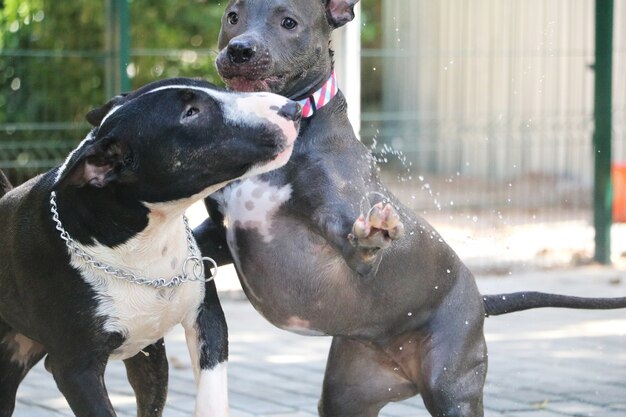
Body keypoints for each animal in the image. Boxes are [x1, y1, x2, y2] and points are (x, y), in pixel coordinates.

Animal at [193, 1, 624, 414]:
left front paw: (373, 233)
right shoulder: (222, 231)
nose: (240, 49)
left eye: (289, 22)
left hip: (452, 386)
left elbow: (359, 244)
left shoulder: (344, 234)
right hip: (347, 394)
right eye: (233, 16)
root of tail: (481, 301)